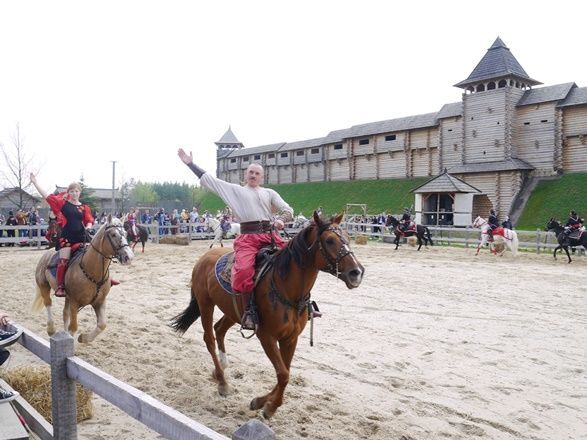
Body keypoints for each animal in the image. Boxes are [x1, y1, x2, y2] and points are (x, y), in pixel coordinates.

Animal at [170, 211, 362, 418]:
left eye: (348, 237)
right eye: (329, 240)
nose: (357, 272)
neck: (286, 288)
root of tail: (204, 258)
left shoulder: (290, 338)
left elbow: (285, 372)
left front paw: (263, 402)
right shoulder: (267, 336)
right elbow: (283, 374)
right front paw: (269, 406)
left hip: (232, 311)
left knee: (219, 329)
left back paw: (221, 366)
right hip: (206, 304)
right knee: (209, 338)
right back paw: (222, 382)